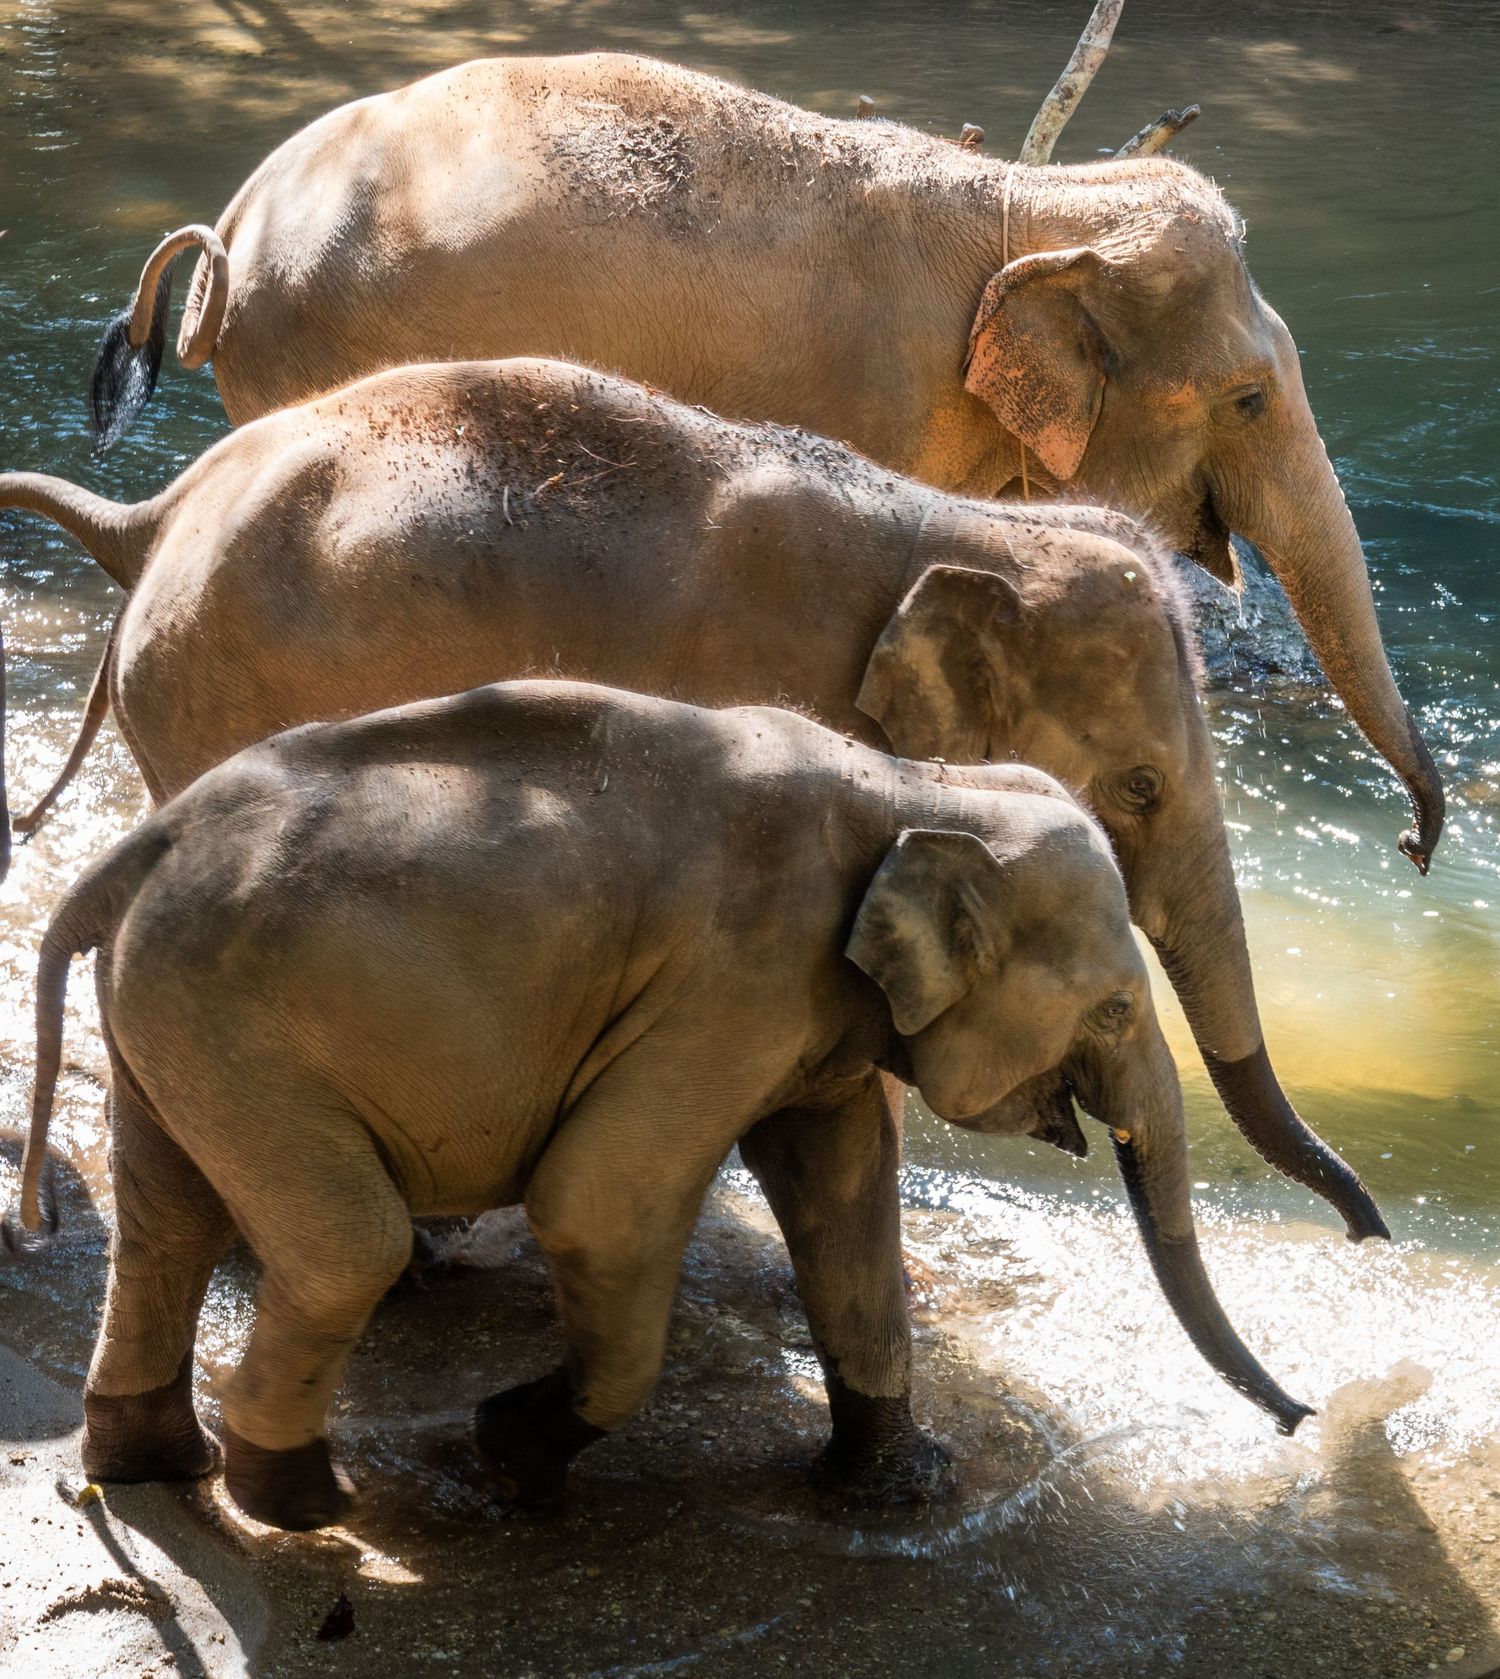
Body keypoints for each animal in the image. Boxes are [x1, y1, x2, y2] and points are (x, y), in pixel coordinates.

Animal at [6, 678, 1312, 1530]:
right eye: (1115, 1009)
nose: (1300, 1418)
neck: (909, 784)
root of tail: (139, 843)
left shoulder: (813, 1011)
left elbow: (844, 1197)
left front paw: (901, 1489)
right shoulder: (737, 977)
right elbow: (602, 1200)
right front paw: (510, 1455)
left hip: (175, 1017)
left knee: (171, 1218)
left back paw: (152, 1463)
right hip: (235, 1026)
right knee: (344, 1245)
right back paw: (299, 1499)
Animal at [86, 52, 1442, 868]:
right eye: (1248, 396)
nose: (1420, 847)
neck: (1027, 202)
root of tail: (234, 219)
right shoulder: (883, 389)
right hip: (311, 339)